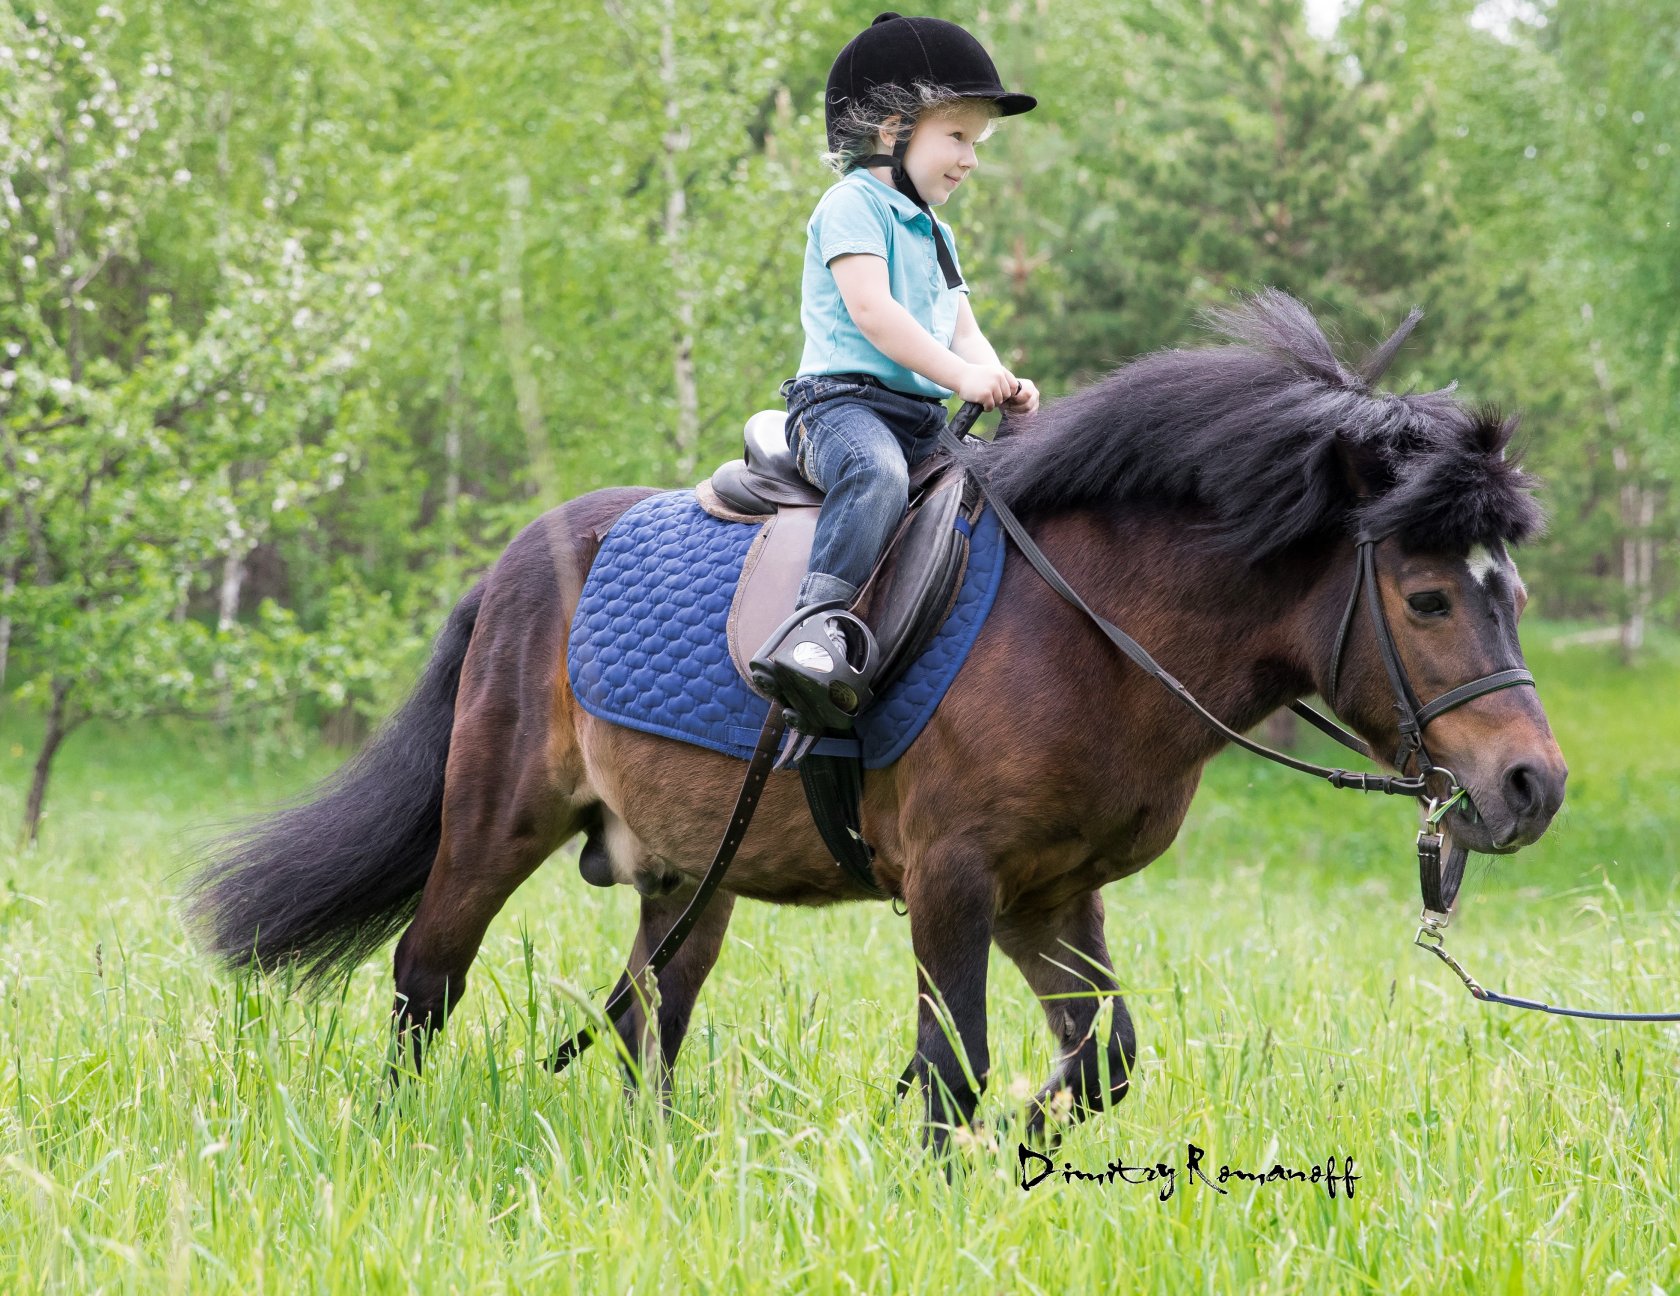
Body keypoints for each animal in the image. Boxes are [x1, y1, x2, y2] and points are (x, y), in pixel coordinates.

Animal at [190, 294, 1565, 1143]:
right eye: (1430, 596)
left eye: (1512, 590)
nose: (1530, 788)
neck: (1086, 631)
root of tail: (515, 563)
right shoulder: (953, 882)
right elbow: (953, 1069)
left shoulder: (1051, 896)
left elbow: (1102, 1061)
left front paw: (1021, 1147)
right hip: (495, 821)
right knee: (427, 977)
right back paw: (398, 1129)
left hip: (689, 869)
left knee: (647, 1012)